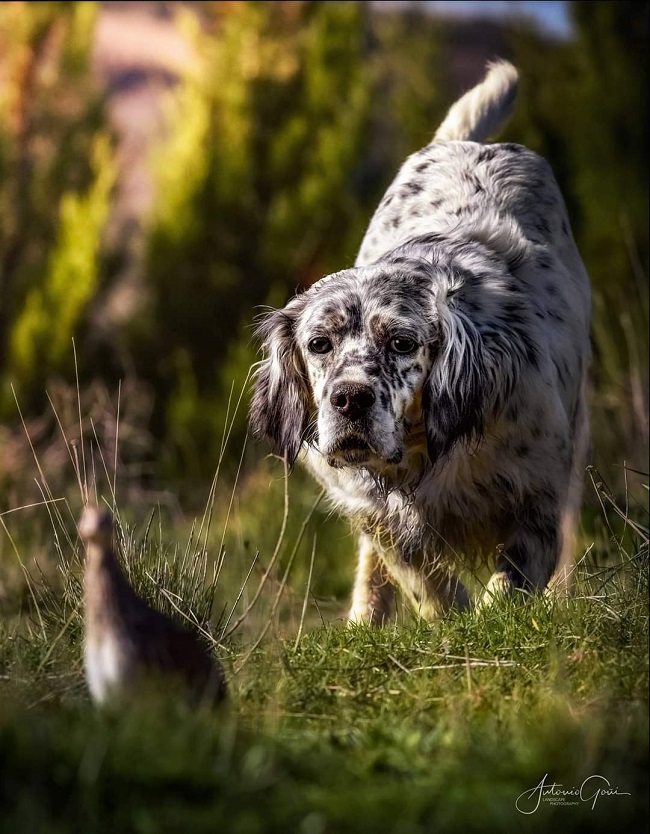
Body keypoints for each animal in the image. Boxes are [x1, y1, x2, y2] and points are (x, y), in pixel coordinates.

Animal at [251, 61, 588, 620]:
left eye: (403, 343)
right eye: (319, 344)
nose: (350, 399)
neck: (425, 454)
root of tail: (465, 145)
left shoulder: (537, 498)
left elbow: (508, 587)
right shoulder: (379, 513)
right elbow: (422, 579)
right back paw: (363, 622)